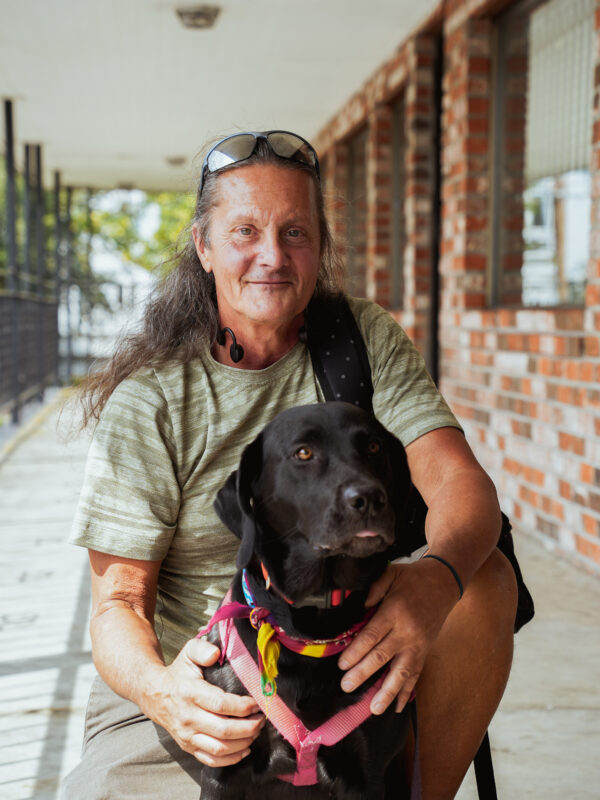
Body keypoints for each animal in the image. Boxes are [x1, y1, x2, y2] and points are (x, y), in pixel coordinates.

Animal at [200, 404, 418, 800]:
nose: (369, 498)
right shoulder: (223, 765)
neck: (310, 623)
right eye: (303, 453)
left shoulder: (366, 775)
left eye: (374, 447)